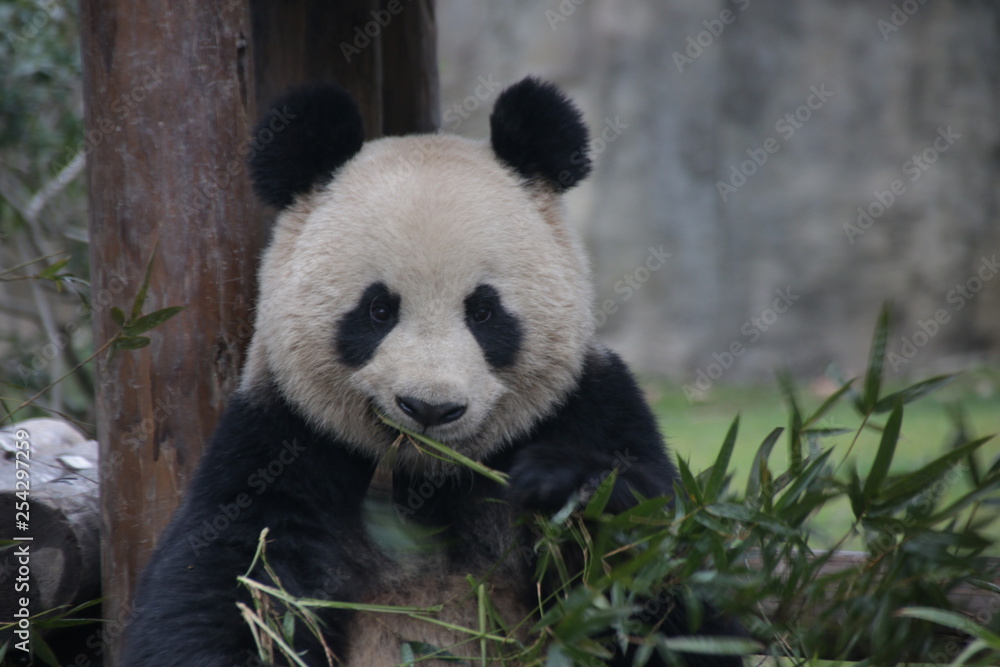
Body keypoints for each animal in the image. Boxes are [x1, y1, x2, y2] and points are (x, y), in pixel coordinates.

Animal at [121, 77, 740, 667]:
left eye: (484, 311)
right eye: (378, 309)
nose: (430, 407)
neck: (426, 476)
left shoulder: (590, 407)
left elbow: (677, 596)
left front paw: (573, 491)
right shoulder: (280, 442)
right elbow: (223, 588)